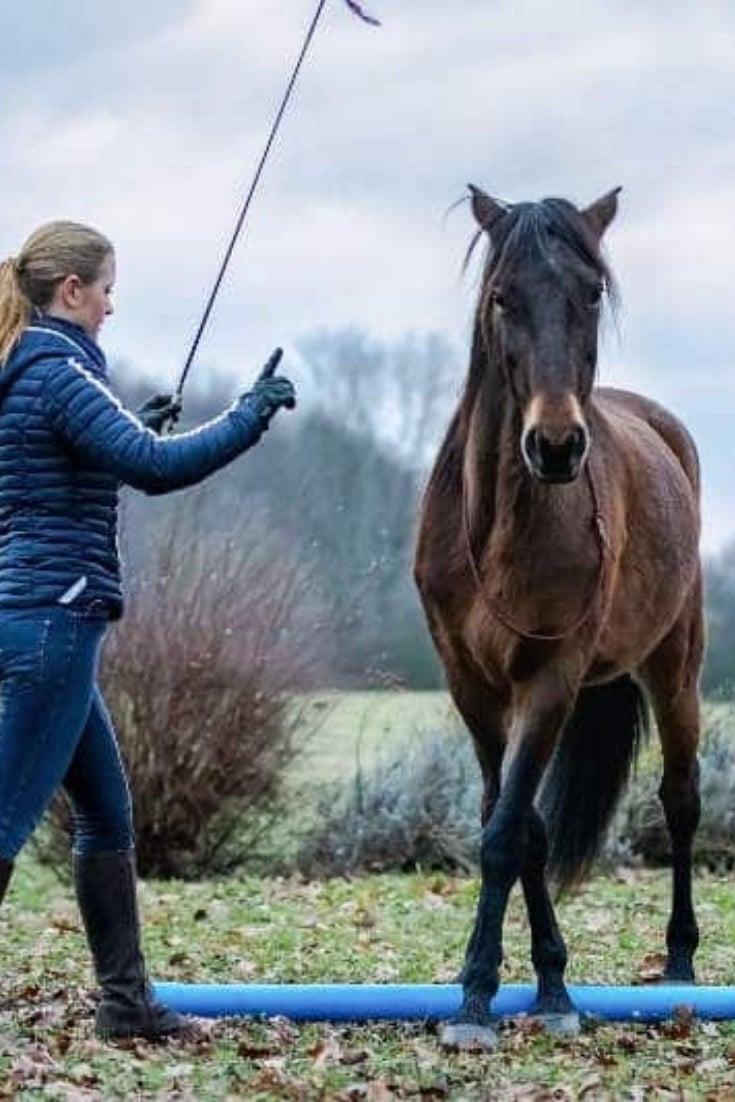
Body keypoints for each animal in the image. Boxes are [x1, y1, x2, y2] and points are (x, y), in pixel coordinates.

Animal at [416, 189, 705, 1049]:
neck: (500, 524)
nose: (553, 445)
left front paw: (478, 1000)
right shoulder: (471, 686)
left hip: (675, 670)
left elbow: (506, 830)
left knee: (681, 803)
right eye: (500, 297)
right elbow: (519, 828)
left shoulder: (549, 678)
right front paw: (545, 986)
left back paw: (680, 964)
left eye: (590, 293)